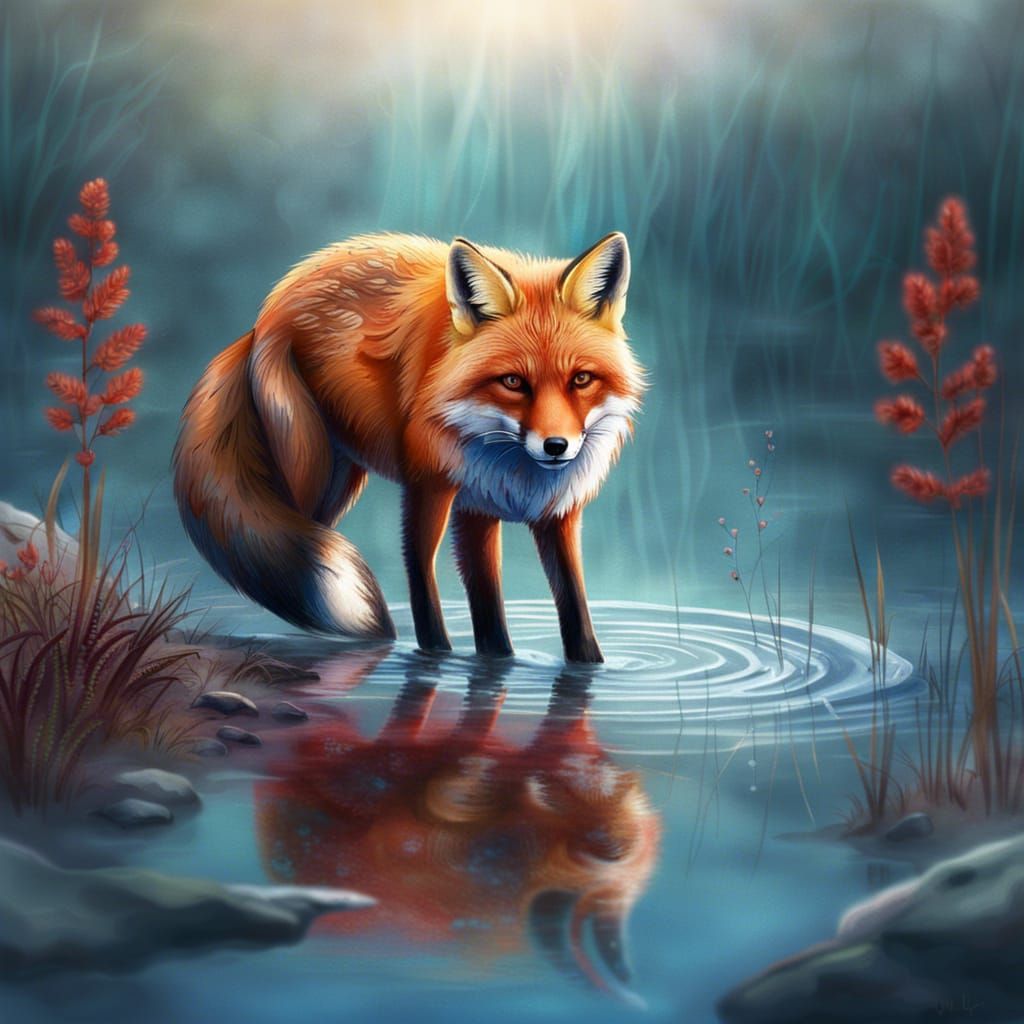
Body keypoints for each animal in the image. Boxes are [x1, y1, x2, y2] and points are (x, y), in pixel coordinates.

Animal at [172, 231, 644, 663]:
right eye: (513, 382)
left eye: (581, 379)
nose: (556, 446)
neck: (509, 466)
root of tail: (266, 314)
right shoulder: (429, 487)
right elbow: (423, 578)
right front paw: (435, 656)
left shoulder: (526, 513)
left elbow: (559, 605)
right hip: (305, 473)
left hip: (339, 481)